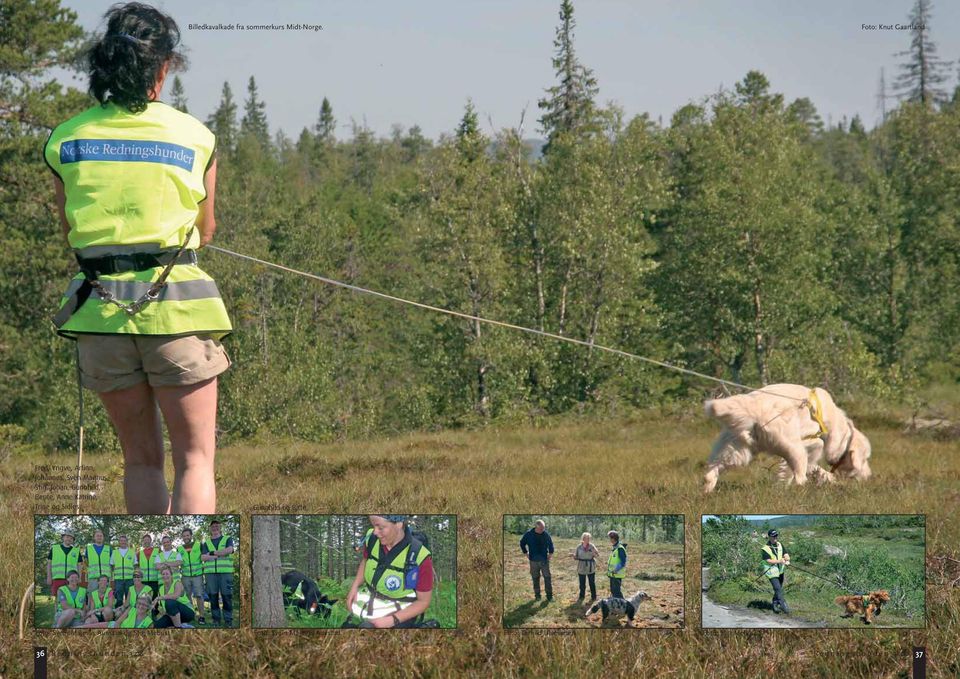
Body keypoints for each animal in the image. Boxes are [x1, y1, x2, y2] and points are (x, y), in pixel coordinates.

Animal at [700, 382, 872, 494]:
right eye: (865, 459)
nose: (869, 476)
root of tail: (755, 406)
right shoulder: (811, 440)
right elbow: (813, 456)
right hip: (792, 445)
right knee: (800, 477)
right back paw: (802, 489)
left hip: (736, 451)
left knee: (711, 472)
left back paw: (707, 489)